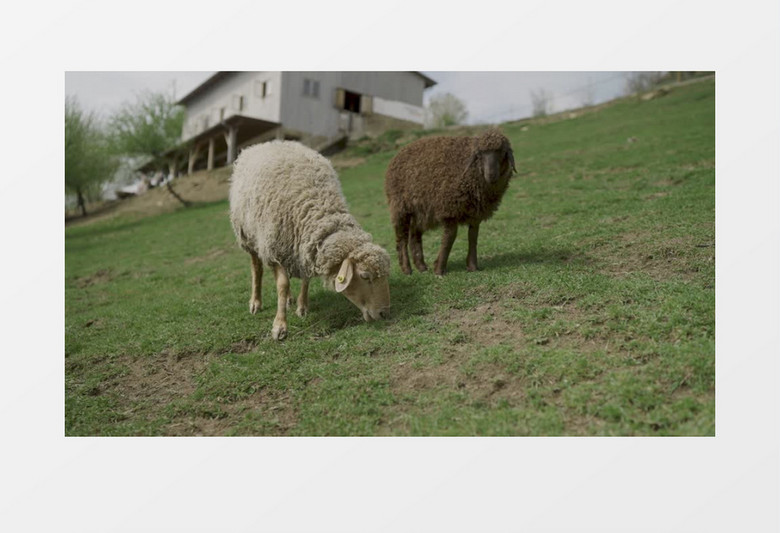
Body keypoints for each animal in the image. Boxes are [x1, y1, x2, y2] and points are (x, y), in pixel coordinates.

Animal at [229, 140, 394, 340]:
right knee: (257, 269)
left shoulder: (303, 246)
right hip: (247, 235)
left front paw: (302, 306)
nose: (384, 313)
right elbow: (282, 285)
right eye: (365, 276)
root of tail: (268, 143)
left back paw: (289, 299)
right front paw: (279, 326)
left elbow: (304, 279)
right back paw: (255, 302)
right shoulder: (276, 247)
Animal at [382, 128, 516, 274]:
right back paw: (407, 269)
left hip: (420, 210)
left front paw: (472, 266)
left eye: (502, 152)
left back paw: (421, 266)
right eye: (480, 154)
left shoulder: (475, 214)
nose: (491, 175)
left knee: (414, 236)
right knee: (401, 238)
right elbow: (449, 238)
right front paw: (439, 269)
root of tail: (399, 153)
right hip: (400, 207)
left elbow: (473, 237)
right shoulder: (449, 210)